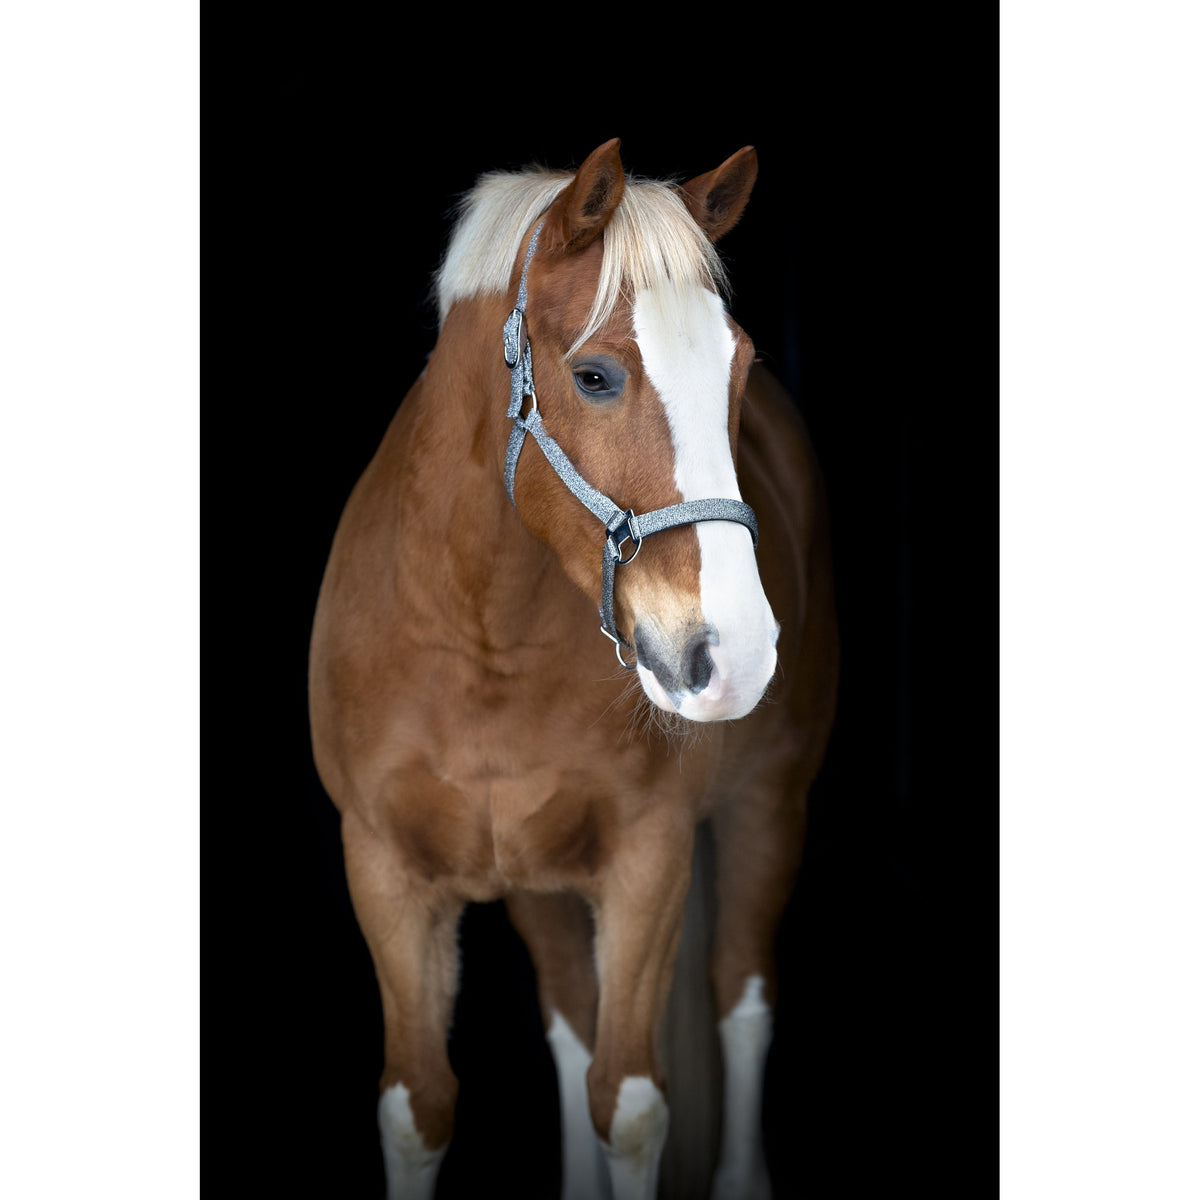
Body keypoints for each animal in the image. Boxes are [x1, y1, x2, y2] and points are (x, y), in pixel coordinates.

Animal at [308, 138, 838, 1200]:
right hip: (539, 884)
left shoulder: (649, 859)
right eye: (594, 376)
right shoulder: (383, 870)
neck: (481, 640)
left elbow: (629, 1103)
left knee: (742, 1001)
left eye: (739, 369)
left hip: (768, 809)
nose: (736, 653)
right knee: (567, 1024)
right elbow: (418, 1107)